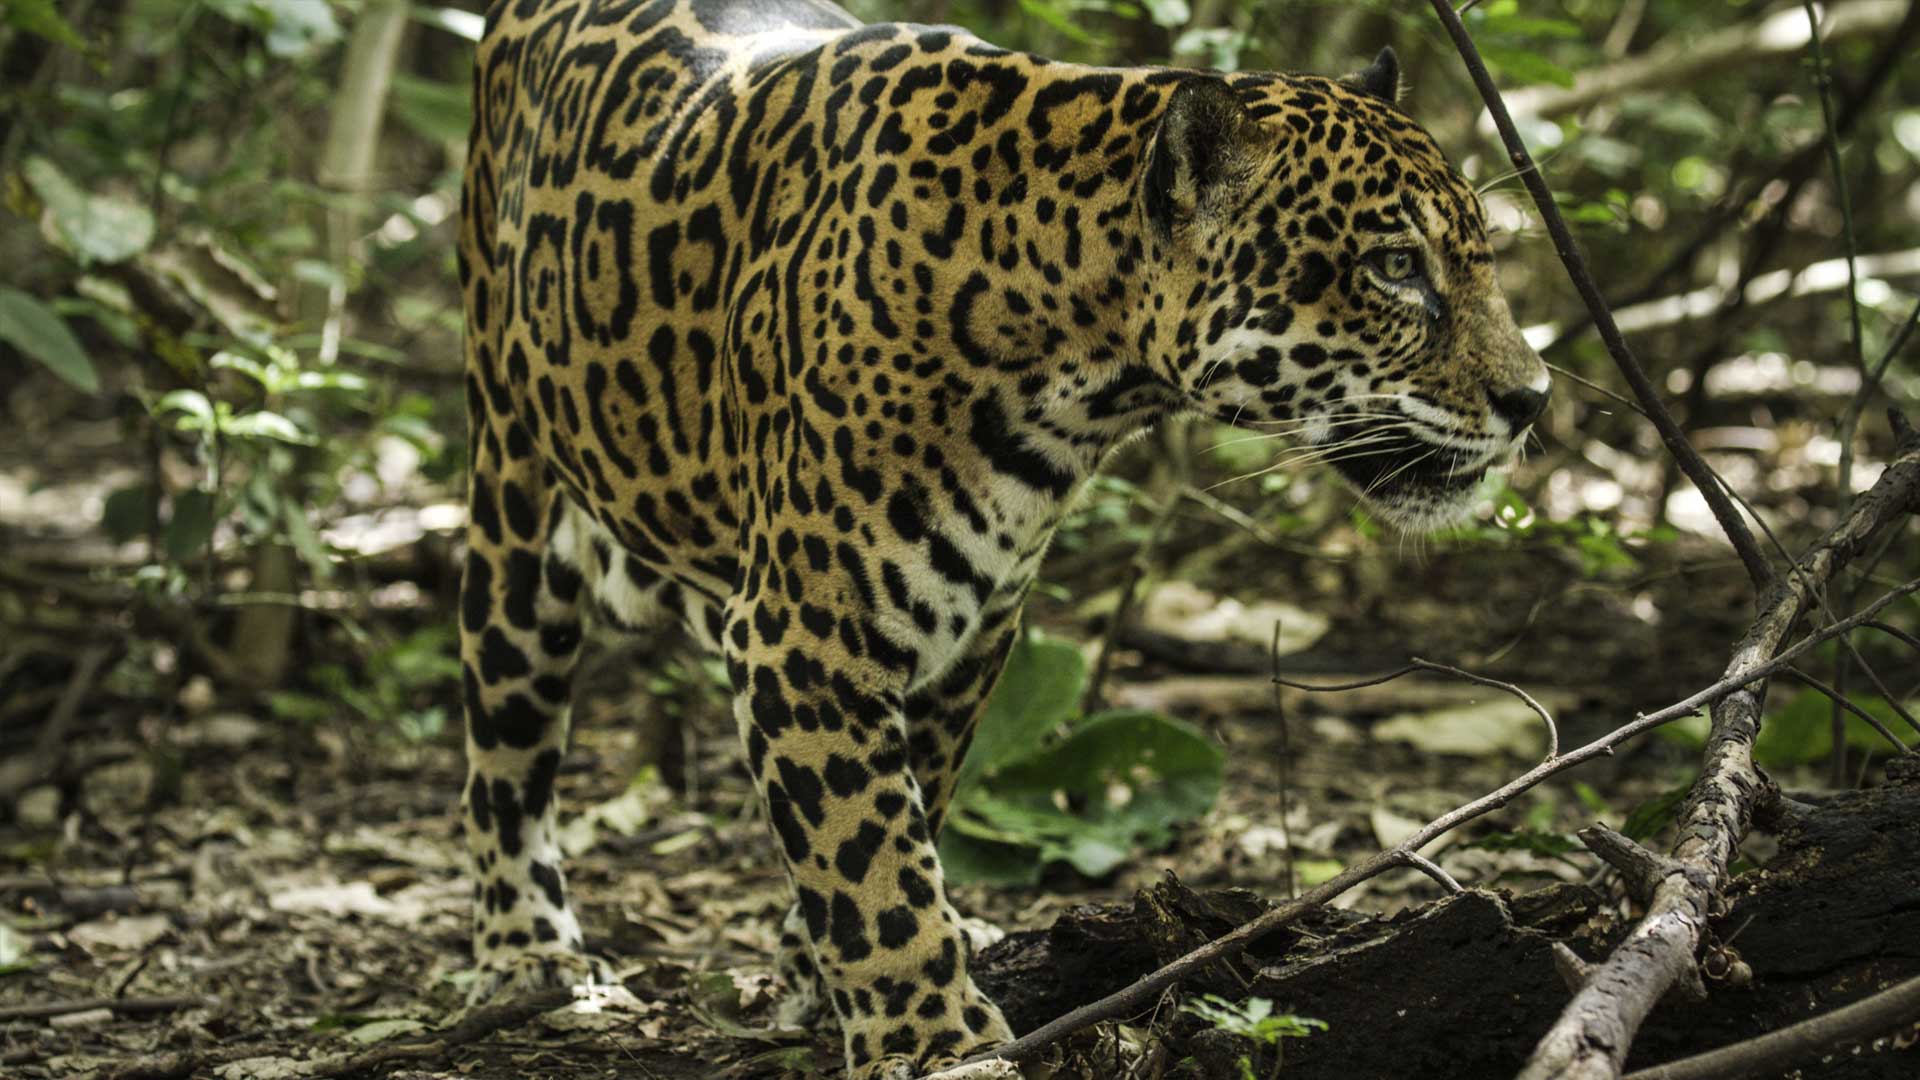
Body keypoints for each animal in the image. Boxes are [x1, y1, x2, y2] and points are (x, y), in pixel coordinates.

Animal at [454, 1, 1551, 1076]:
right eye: (1396, 268)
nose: (1533, 399)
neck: (1079, 356)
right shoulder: (803, 633)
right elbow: (866, 849)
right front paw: (931, 1039)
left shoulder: (969, 629)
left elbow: (906, 808)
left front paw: (820, 974)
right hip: (513, 509)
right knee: (505, 757)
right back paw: (527, 953)